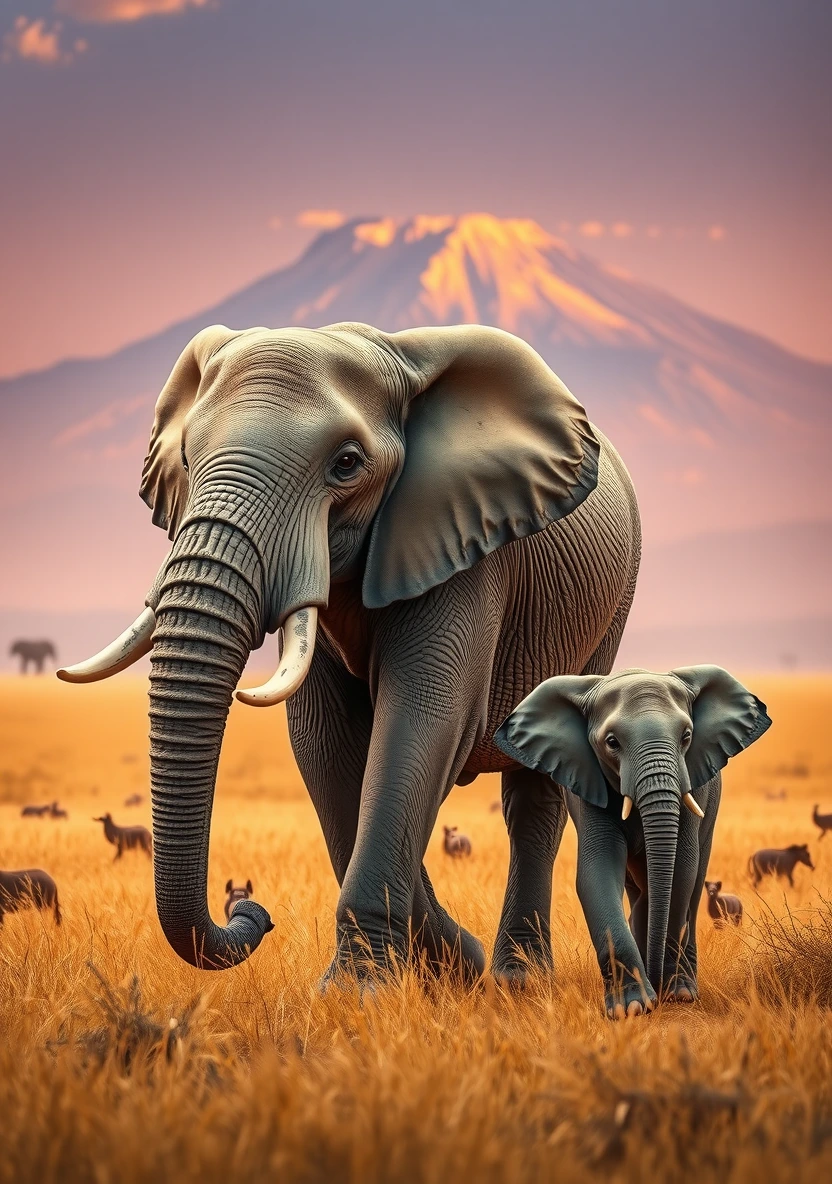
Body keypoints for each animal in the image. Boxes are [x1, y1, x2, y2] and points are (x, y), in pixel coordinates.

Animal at [57, 321, 640, 982]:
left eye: (346, 465)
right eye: (185, 458)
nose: (253, 912)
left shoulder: (465, 549)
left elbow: (423, 719)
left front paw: (362, 990)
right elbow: (326, 743)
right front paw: (440, 969)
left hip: (610, 611)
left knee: (534, 794)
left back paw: (520, 981)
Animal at [494, 666, 771, 1015]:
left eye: (686, 737)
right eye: (612, 743)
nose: (659, 991)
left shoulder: (692, 784)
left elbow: (681, 872)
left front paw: (675, 995)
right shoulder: (590, 786)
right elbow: (596, 872)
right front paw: (633, 1008)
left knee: (694, 885)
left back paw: (683, 986)